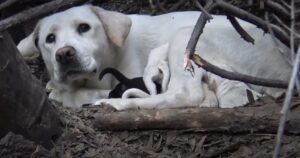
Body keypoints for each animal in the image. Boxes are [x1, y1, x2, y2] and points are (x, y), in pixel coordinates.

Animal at [18, 4, 202, 107]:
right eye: (50, 38)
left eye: (84, 27)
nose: (64, 54)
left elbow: (85, 94)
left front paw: (62, 95)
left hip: (184, 38)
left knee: (182, 96)